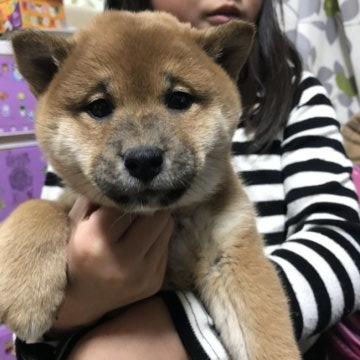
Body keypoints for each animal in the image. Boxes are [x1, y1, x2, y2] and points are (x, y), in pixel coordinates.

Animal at [0, 9, 300, 358]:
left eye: (179, 100)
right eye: (99, 107)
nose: (143, 159)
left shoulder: (230, 252)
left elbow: (267, 333)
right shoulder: (70, 201)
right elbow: (37, 207)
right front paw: (26, 293)